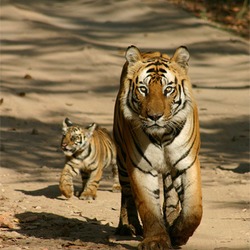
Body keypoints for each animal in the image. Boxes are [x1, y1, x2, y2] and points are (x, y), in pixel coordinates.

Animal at [114, 46, 203, 249]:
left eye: (168, 89)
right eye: (143, 89)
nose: (154, 117)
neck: (162, 136)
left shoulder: (187, 163)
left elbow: (193, 210)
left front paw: (178, 234)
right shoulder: (141, 168)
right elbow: (148, 208)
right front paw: (156, 240)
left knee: (170, 195)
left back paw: (170, 219)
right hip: (122, 158)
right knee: (126, 193)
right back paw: (128, 226)